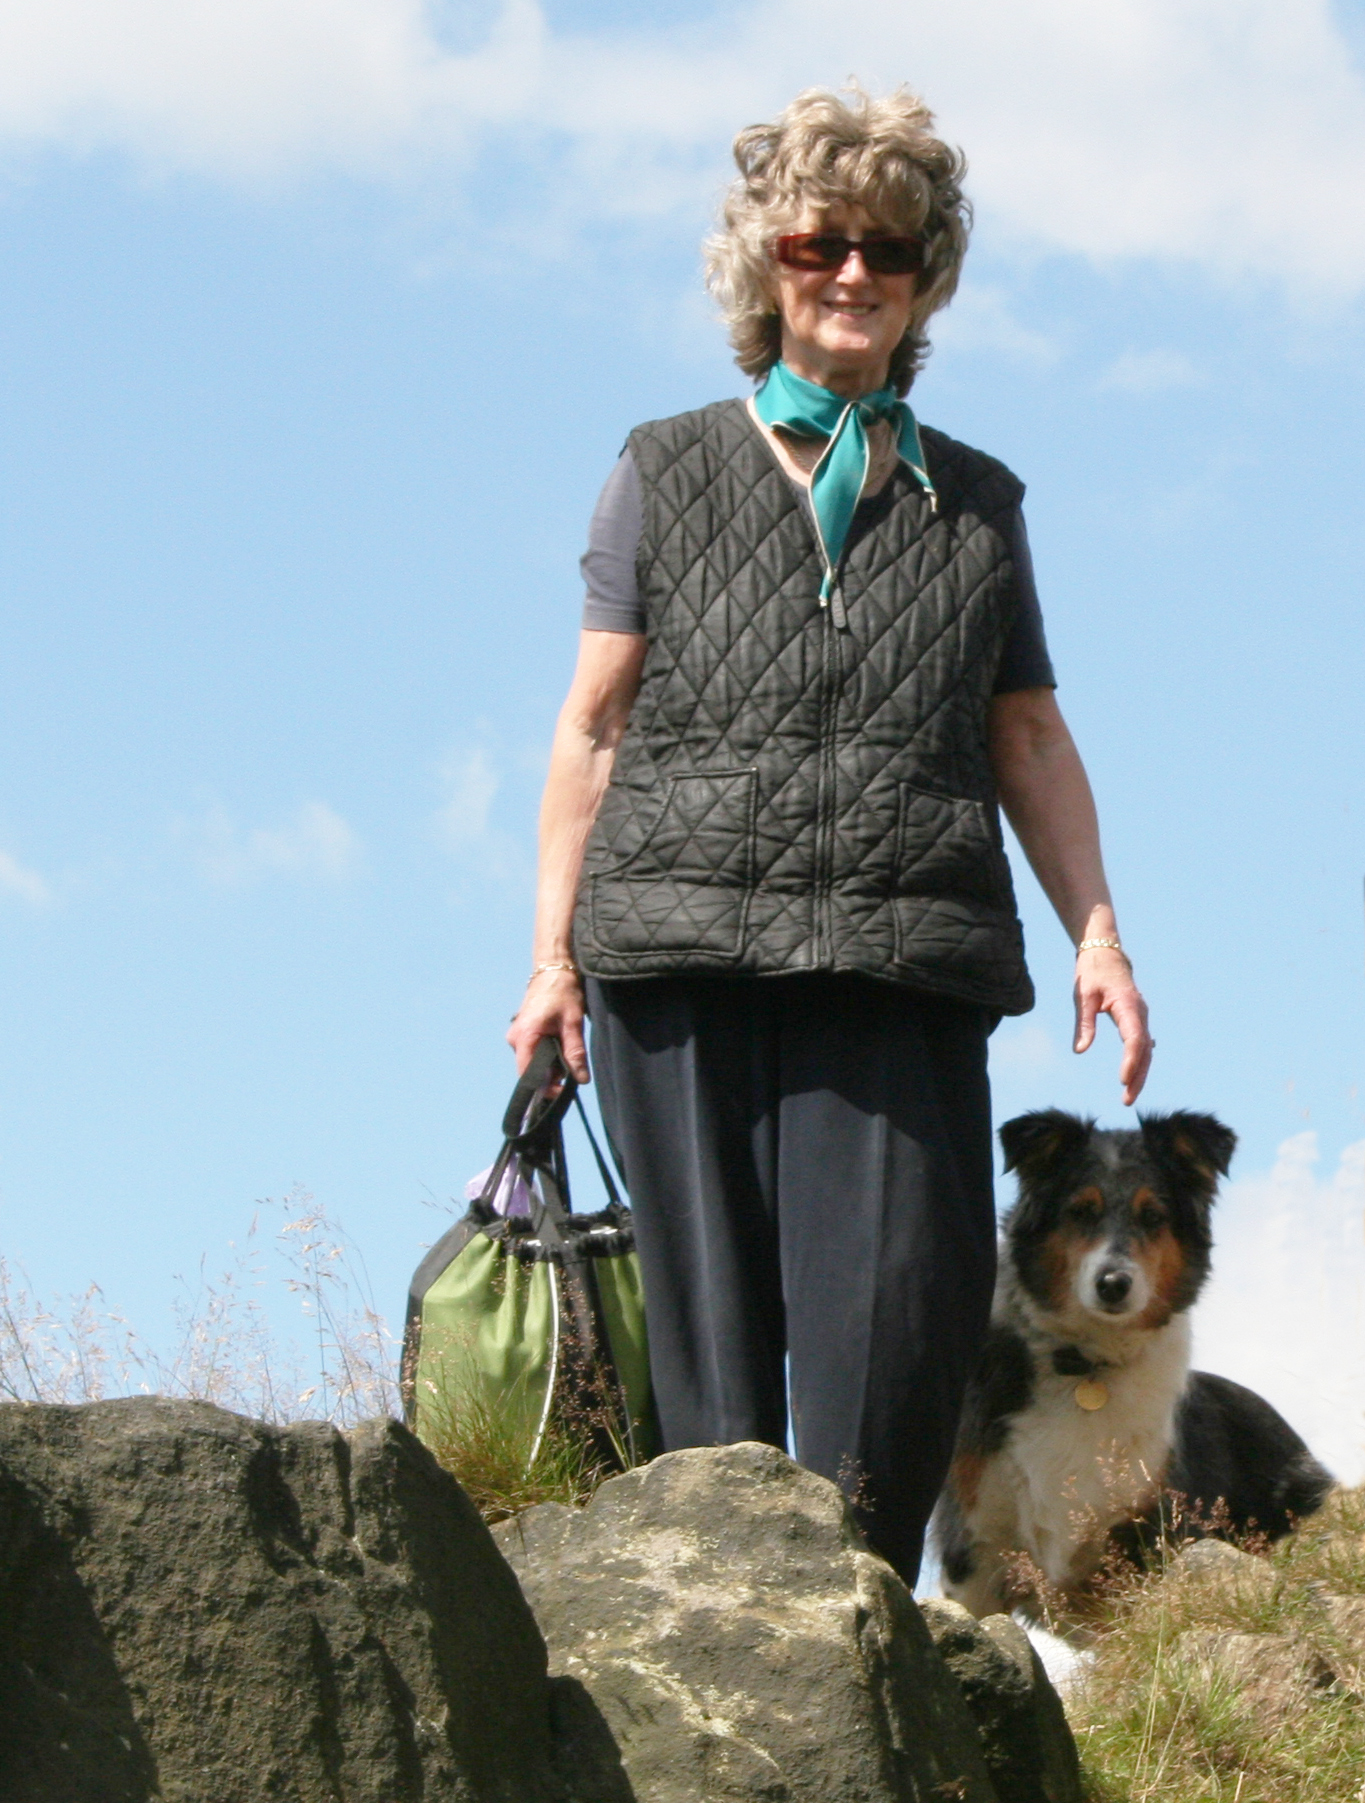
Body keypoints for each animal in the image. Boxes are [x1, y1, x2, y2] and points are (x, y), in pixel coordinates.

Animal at [937, 1103, 1334, 1629]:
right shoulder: (975, 1545)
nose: (1113, 1284)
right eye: (1080, 1212)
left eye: (1153, 1217)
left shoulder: (1142, 1538)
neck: (1089, 1364)